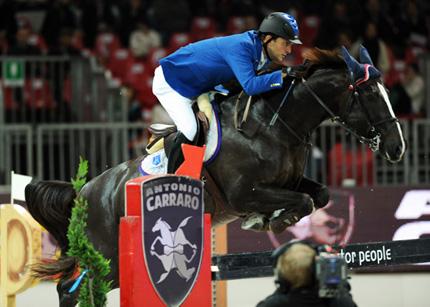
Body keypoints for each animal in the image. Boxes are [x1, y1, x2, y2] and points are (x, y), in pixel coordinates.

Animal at [25, 46, 404, 307]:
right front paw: (268, 220)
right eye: (371, 94)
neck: (275, 124)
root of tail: (85, 191)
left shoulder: (289, 182)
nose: (398, 148)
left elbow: (319, 195)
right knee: (71, 288)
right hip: (107, 254)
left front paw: (273, 219)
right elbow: (303, 201)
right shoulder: (245, 193)